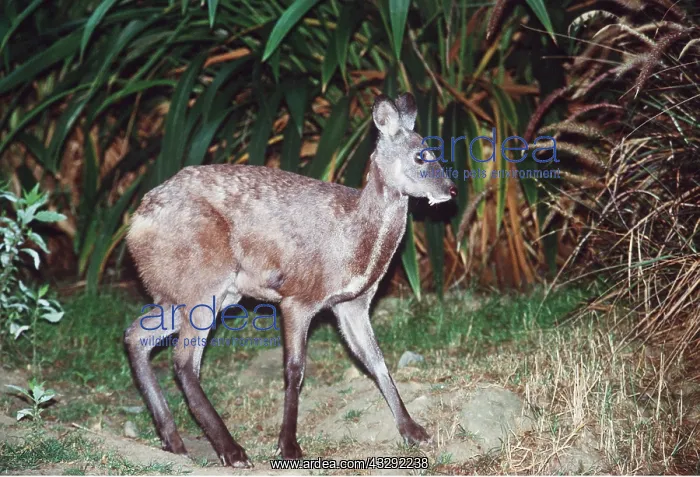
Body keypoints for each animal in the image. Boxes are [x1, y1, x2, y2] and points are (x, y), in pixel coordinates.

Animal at [124, 92, 457, 467]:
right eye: (421, 154)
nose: (451, 189)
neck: (351, 241)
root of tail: (134, 226)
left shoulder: (353, 303)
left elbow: (375, 360)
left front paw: (413, 430)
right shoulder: (298, 297)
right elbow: (295, 369)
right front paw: (288, 446)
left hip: (198, 293)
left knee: (137, 336)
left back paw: (174, 440)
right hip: (203, 280)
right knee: (182, 361)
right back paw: (231, 450)